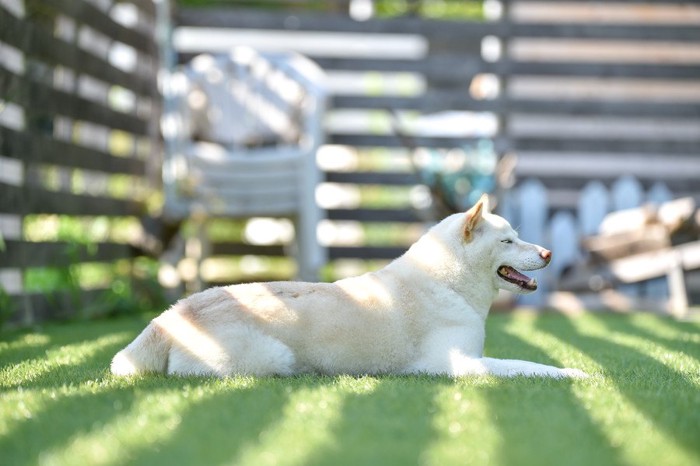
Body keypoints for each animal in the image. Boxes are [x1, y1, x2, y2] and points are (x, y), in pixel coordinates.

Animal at [112, 196, 588, 378]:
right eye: (508, 241)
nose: (548, 253)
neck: (448, 282)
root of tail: (171, 316)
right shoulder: (459, 365)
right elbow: (529, 367)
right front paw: (575, 374)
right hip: (274, 357)